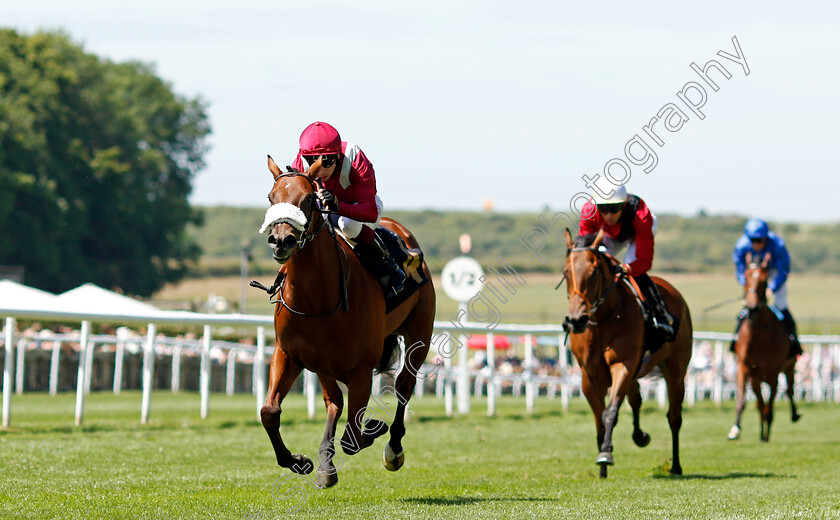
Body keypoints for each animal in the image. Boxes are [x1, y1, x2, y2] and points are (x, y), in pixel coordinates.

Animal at [260, 155, 436, 488]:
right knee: (334, 402)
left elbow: (352, 436)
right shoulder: (289, 354)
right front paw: (299, 461)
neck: (316, 298)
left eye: (309, 199)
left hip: (419, 334)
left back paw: (393, 449)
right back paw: (326, 464)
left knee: (404, 385)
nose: (281, 241)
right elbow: (269, 412)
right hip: (323, 363)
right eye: (271, 197)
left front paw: (374, 428)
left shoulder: (361, 369)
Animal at [560, 230, 692, 478]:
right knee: (636, 397)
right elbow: (600, 419)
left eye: (594, 272)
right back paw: (640, 436)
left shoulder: (623, 364)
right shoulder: (589, 375)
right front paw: (602, 468)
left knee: (674, 417)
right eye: (565, 272)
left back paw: (676, 466)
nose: (575, 320)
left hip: (675, 370)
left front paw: (605, 454)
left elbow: (610, 412)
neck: (603, 319)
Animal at [728, 252, 800, 442]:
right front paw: (735, 429)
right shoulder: (746, 368)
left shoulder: (773, 371)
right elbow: (746, 400)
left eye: (764, 279)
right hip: (758, 376)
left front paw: (766, 430)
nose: (752, 308)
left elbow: (770, 402)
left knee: (789, 391)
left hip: (789, 367)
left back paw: (793, 414)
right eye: (746, 276)